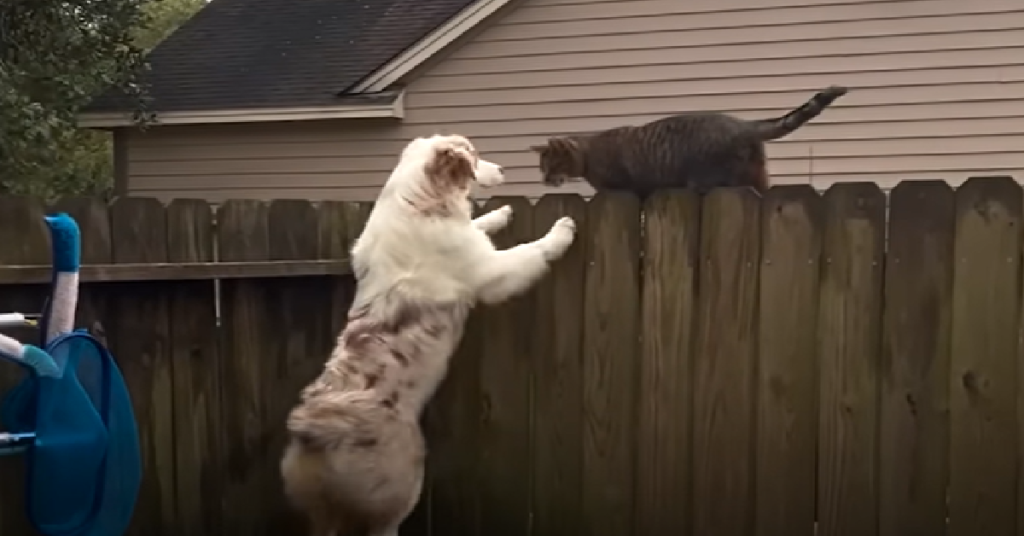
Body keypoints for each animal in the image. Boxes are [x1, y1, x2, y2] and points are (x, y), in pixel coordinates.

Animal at [280, 134, 581, 536]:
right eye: (476, 156)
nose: (503, 169)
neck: (417, 201)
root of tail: (312, 434)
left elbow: (478, 224)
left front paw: (500, 213)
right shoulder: (490, 272)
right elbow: (529, 250)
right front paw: (561, 231)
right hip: (400, 488)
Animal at [528, 86, 847, 196]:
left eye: (551, 165)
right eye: (541, 167)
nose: (544, 180)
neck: (589, 153)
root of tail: (741, 124)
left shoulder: (624, 190)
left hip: (709, 181)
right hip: (757, 177)